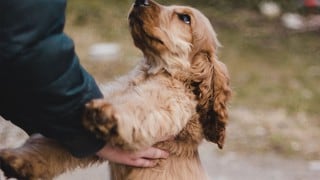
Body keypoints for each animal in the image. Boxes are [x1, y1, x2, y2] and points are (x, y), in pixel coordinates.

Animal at [0, 0, 230, 179]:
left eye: (185, 18)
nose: (140, 1)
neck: (154, 69)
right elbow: (56, 144)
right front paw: (16, 161)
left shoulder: (167, 105)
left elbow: (140, 106)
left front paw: (106, 114)